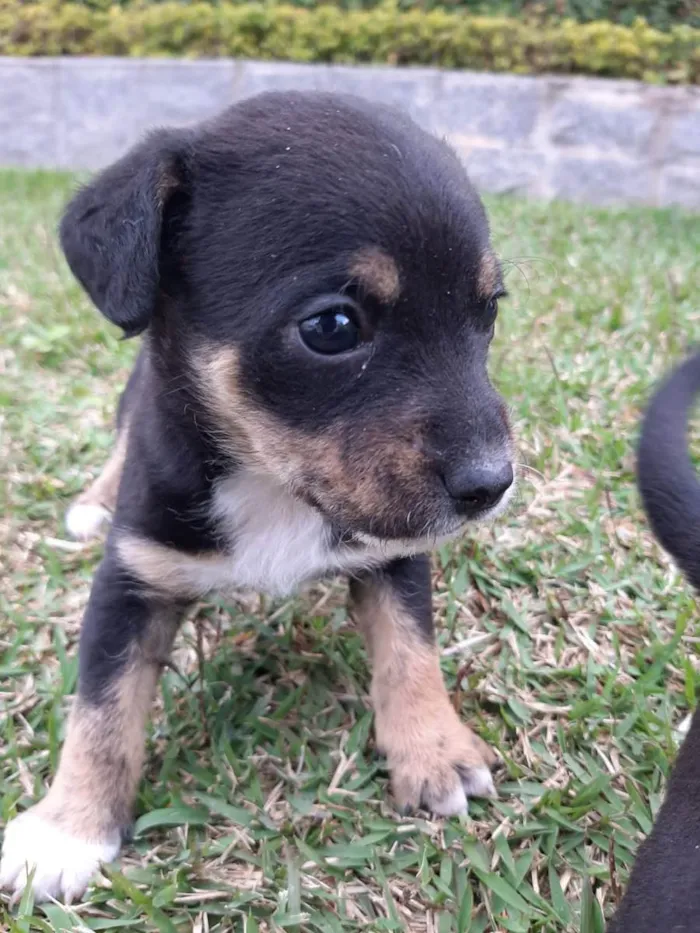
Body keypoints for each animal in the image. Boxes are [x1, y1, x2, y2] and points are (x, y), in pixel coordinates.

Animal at [0, 91, 516, 900]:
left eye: (488, 310)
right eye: (332, 326)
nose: (492, 484)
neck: (273, 483)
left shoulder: (396, 550)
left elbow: (411, 649)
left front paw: (435, 751)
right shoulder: (131, 578)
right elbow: (101, 708)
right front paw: (68, 827)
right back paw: (91, 500)